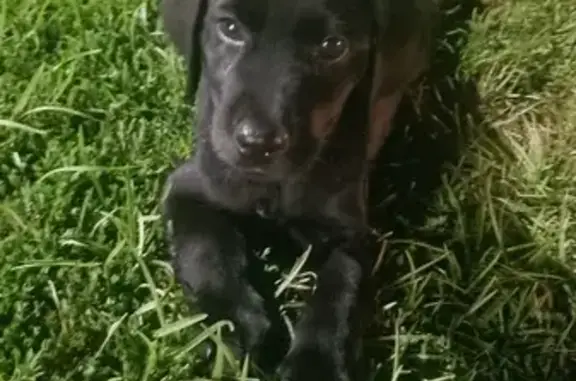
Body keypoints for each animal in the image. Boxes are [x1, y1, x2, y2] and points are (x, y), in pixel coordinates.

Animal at [159, 0, 436, 378]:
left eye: (333, 46)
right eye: (229, 29)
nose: (257, 143)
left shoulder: (351, 233)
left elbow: (340, 290)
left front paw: (316, 364)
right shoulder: (189, 186)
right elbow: (203, 250)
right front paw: (234, 326)